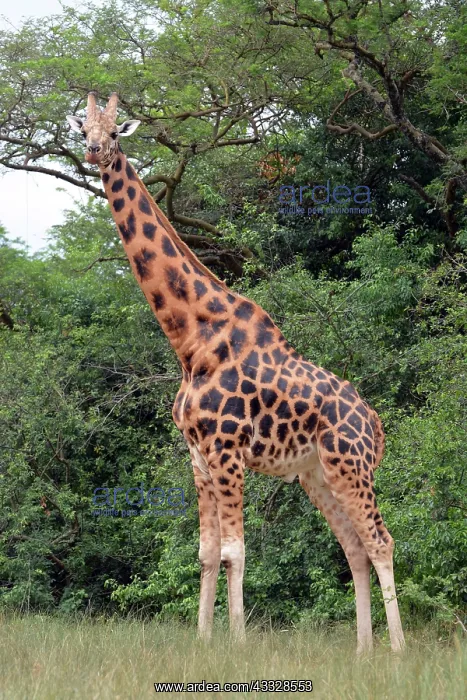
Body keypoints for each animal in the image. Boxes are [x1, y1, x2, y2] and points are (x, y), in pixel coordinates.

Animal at [67, 93, 405, 653]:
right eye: (83, 129)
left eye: (116, 132)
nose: (95, 151)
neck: (190, 342)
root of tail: (374, 423)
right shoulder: (199, 459)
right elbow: (206, 553)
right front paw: (204, 642)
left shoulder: (227, 453)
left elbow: (234, 551)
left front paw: (239, 643)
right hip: (319, 474)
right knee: (354, 547)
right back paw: (362, 652)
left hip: (352, 466)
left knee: (381, 541)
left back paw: (396, 651)